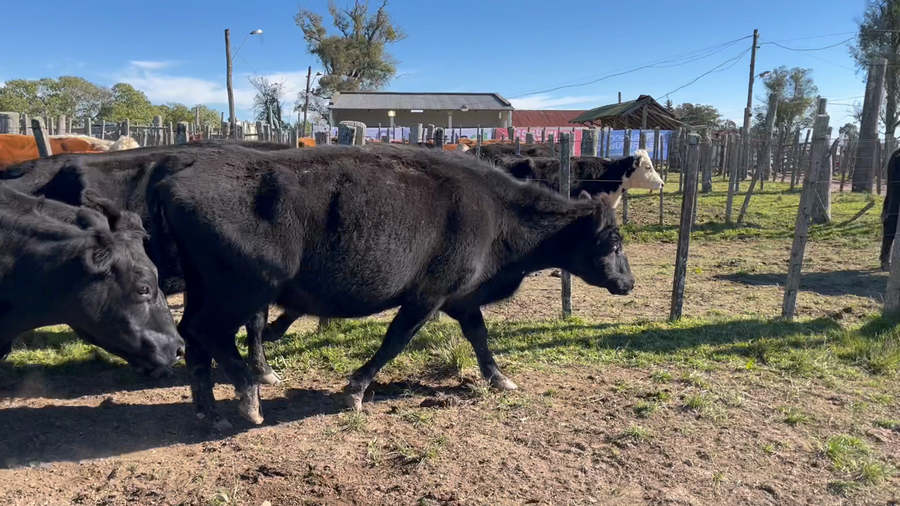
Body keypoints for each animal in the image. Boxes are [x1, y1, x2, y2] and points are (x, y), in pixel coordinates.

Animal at [143, 143, 634, 428]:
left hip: (206, 288)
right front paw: (355, 390)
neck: (497, 213)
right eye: (613, 242)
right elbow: (395, 341)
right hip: (242, 290)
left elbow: (479, 336)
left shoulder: (460, 298)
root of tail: (174, 177)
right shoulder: (427, 296)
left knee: (193, 335)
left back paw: (209, 411)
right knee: (208, 332)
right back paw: (248, 399)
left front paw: (499, 378)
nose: (628, 282)